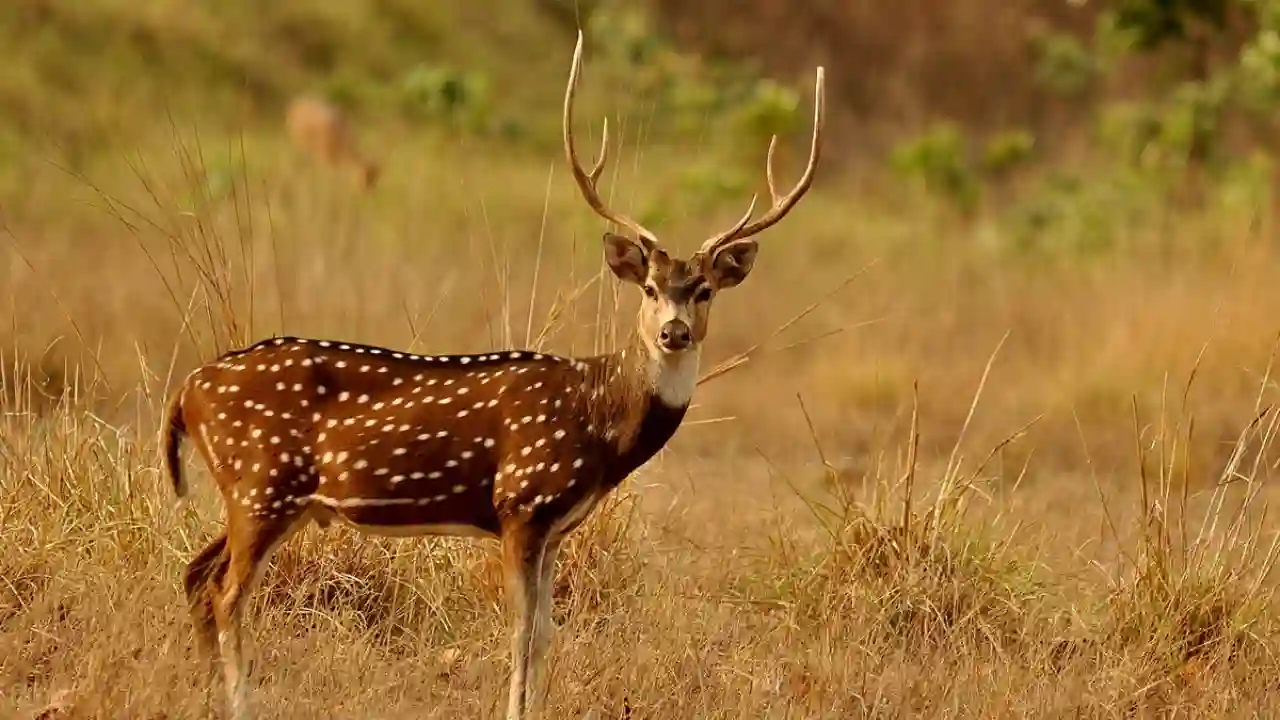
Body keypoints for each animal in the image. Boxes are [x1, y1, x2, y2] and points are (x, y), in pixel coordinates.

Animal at [164, 32, 823, 720]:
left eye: (704, 291)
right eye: (647, 288)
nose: (674, 332)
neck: (599, 421)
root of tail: (187, 392)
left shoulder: (558, 526)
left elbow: (547, 633)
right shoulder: (521, 501)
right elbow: (521, 631)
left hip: (262, 495)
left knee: (195, 574)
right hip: (262, 483)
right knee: (226, 593)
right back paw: (241, 702)